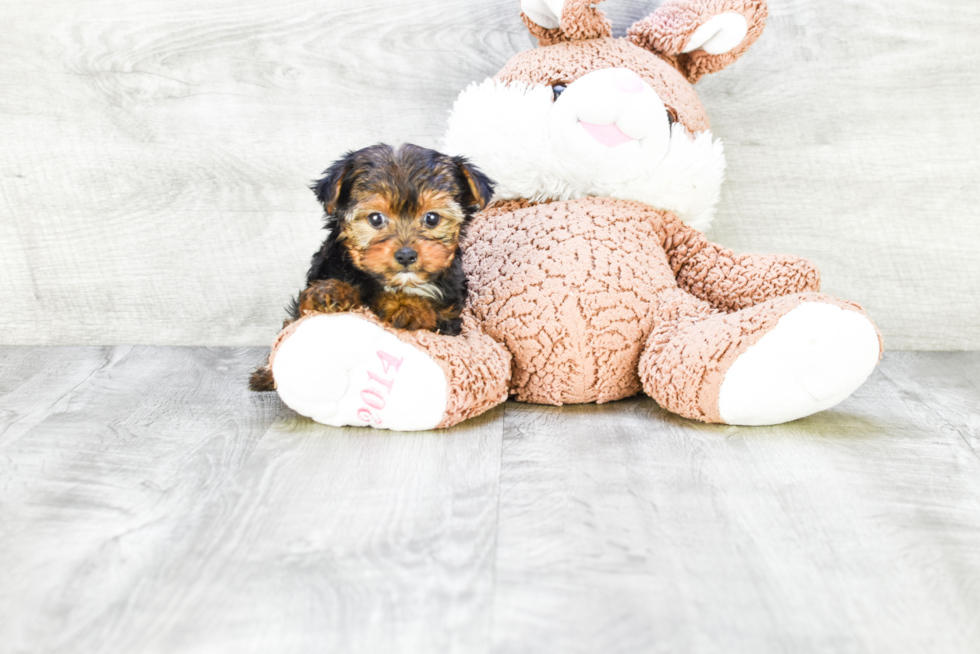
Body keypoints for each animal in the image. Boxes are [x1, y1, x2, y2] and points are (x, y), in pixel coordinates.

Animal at [251, 142, 498, 392]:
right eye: (376, 219)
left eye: (432, 218)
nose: (406, 255)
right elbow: (301, 311)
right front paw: (330, 291)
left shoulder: (449, 319)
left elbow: (432, 314)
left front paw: (406, 306)